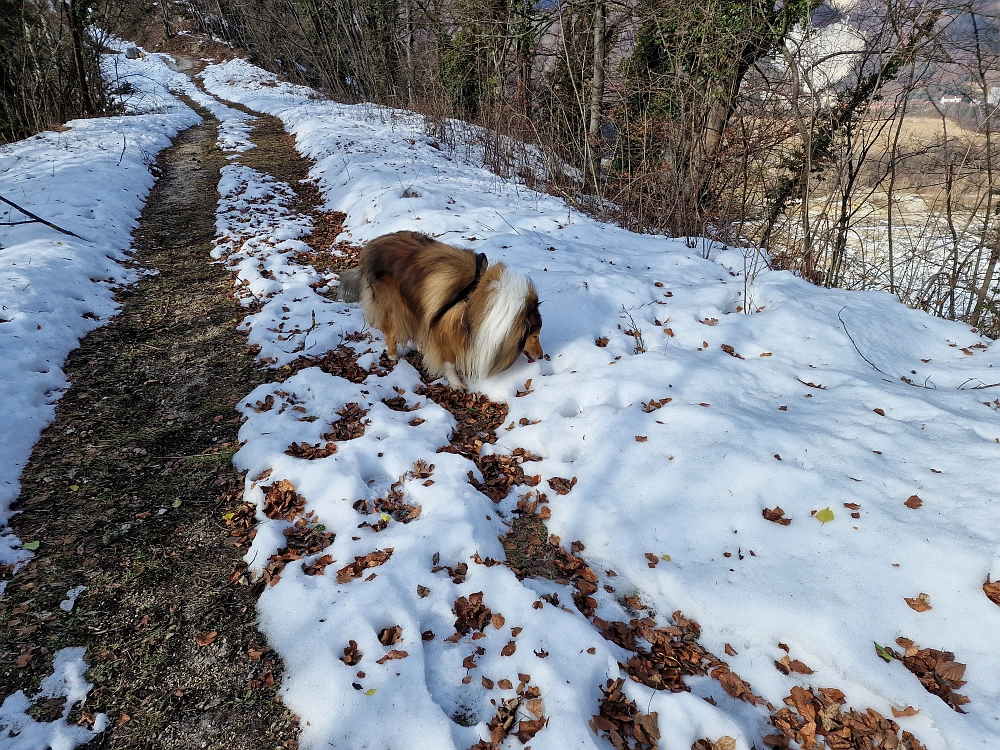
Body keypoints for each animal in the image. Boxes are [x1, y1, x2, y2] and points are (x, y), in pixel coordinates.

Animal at [338, 232, 544, 390]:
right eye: (534, 335)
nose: (541, 356)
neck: (474, 298)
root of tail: (374, 244)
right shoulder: (444, 329)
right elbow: (449, 362)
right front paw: (456, 383)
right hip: (395, 305)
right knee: (392, 330)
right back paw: (392, 354)